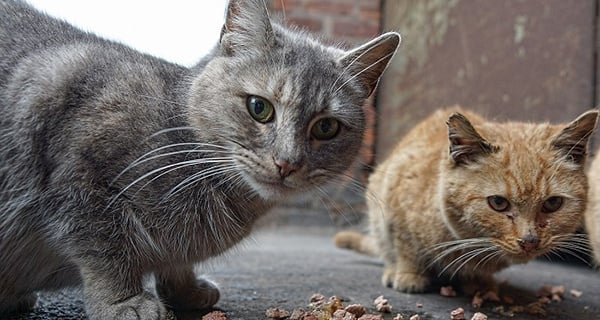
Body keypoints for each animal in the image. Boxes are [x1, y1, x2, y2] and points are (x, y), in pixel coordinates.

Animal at [1, 0, 404, 318]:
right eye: (259, 108)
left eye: (326, 127)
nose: (287, 162)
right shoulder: (79, 179)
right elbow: (105, 250)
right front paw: (124, 301)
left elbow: (176, 264)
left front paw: (185, 288)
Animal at [336, 107, 596, 292]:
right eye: (498, 203)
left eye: (552, 203)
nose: (530, 241)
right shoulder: (396, 204)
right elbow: (407, 250)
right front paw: (409, 275)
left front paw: (479, 282)